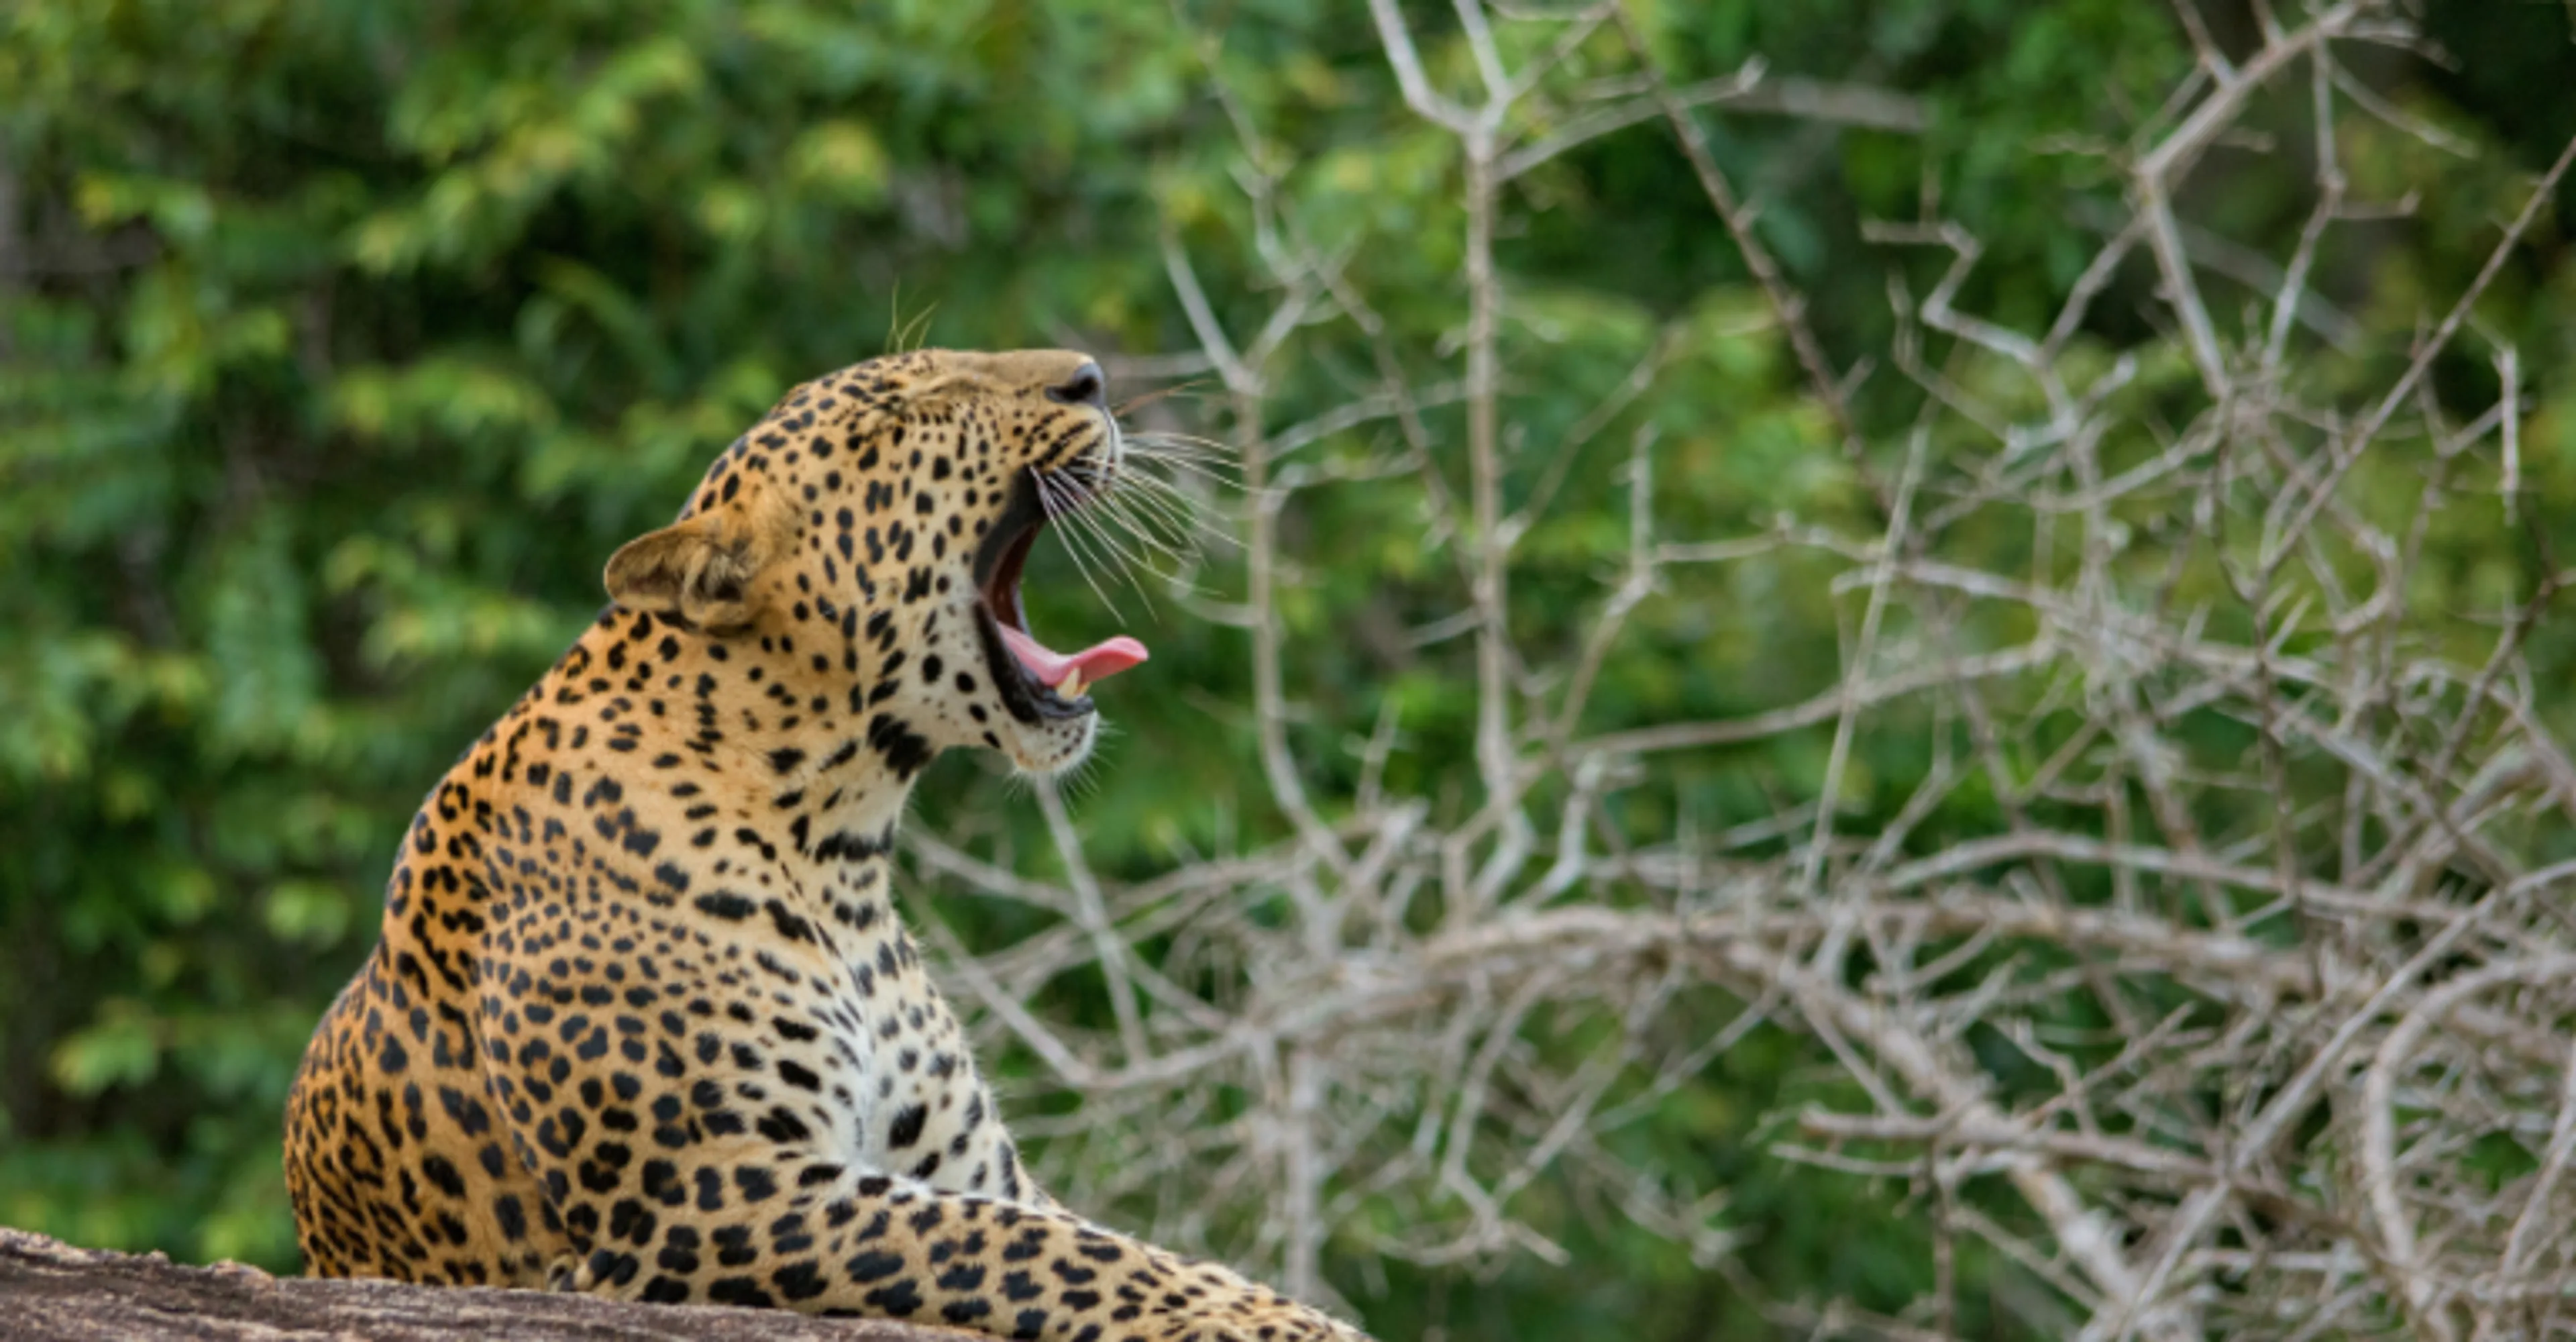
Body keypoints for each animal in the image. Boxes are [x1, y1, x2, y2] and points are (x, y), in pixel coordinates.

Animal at [283, 348, 1371, 1341]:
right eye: (906, 409)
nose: (1092, 378)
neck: (837, 845)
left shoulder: (968, 1162)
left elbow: (1106, 1242)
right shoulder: (707, 1194)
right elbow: (1039, 1251)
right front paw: (1297, 1326)